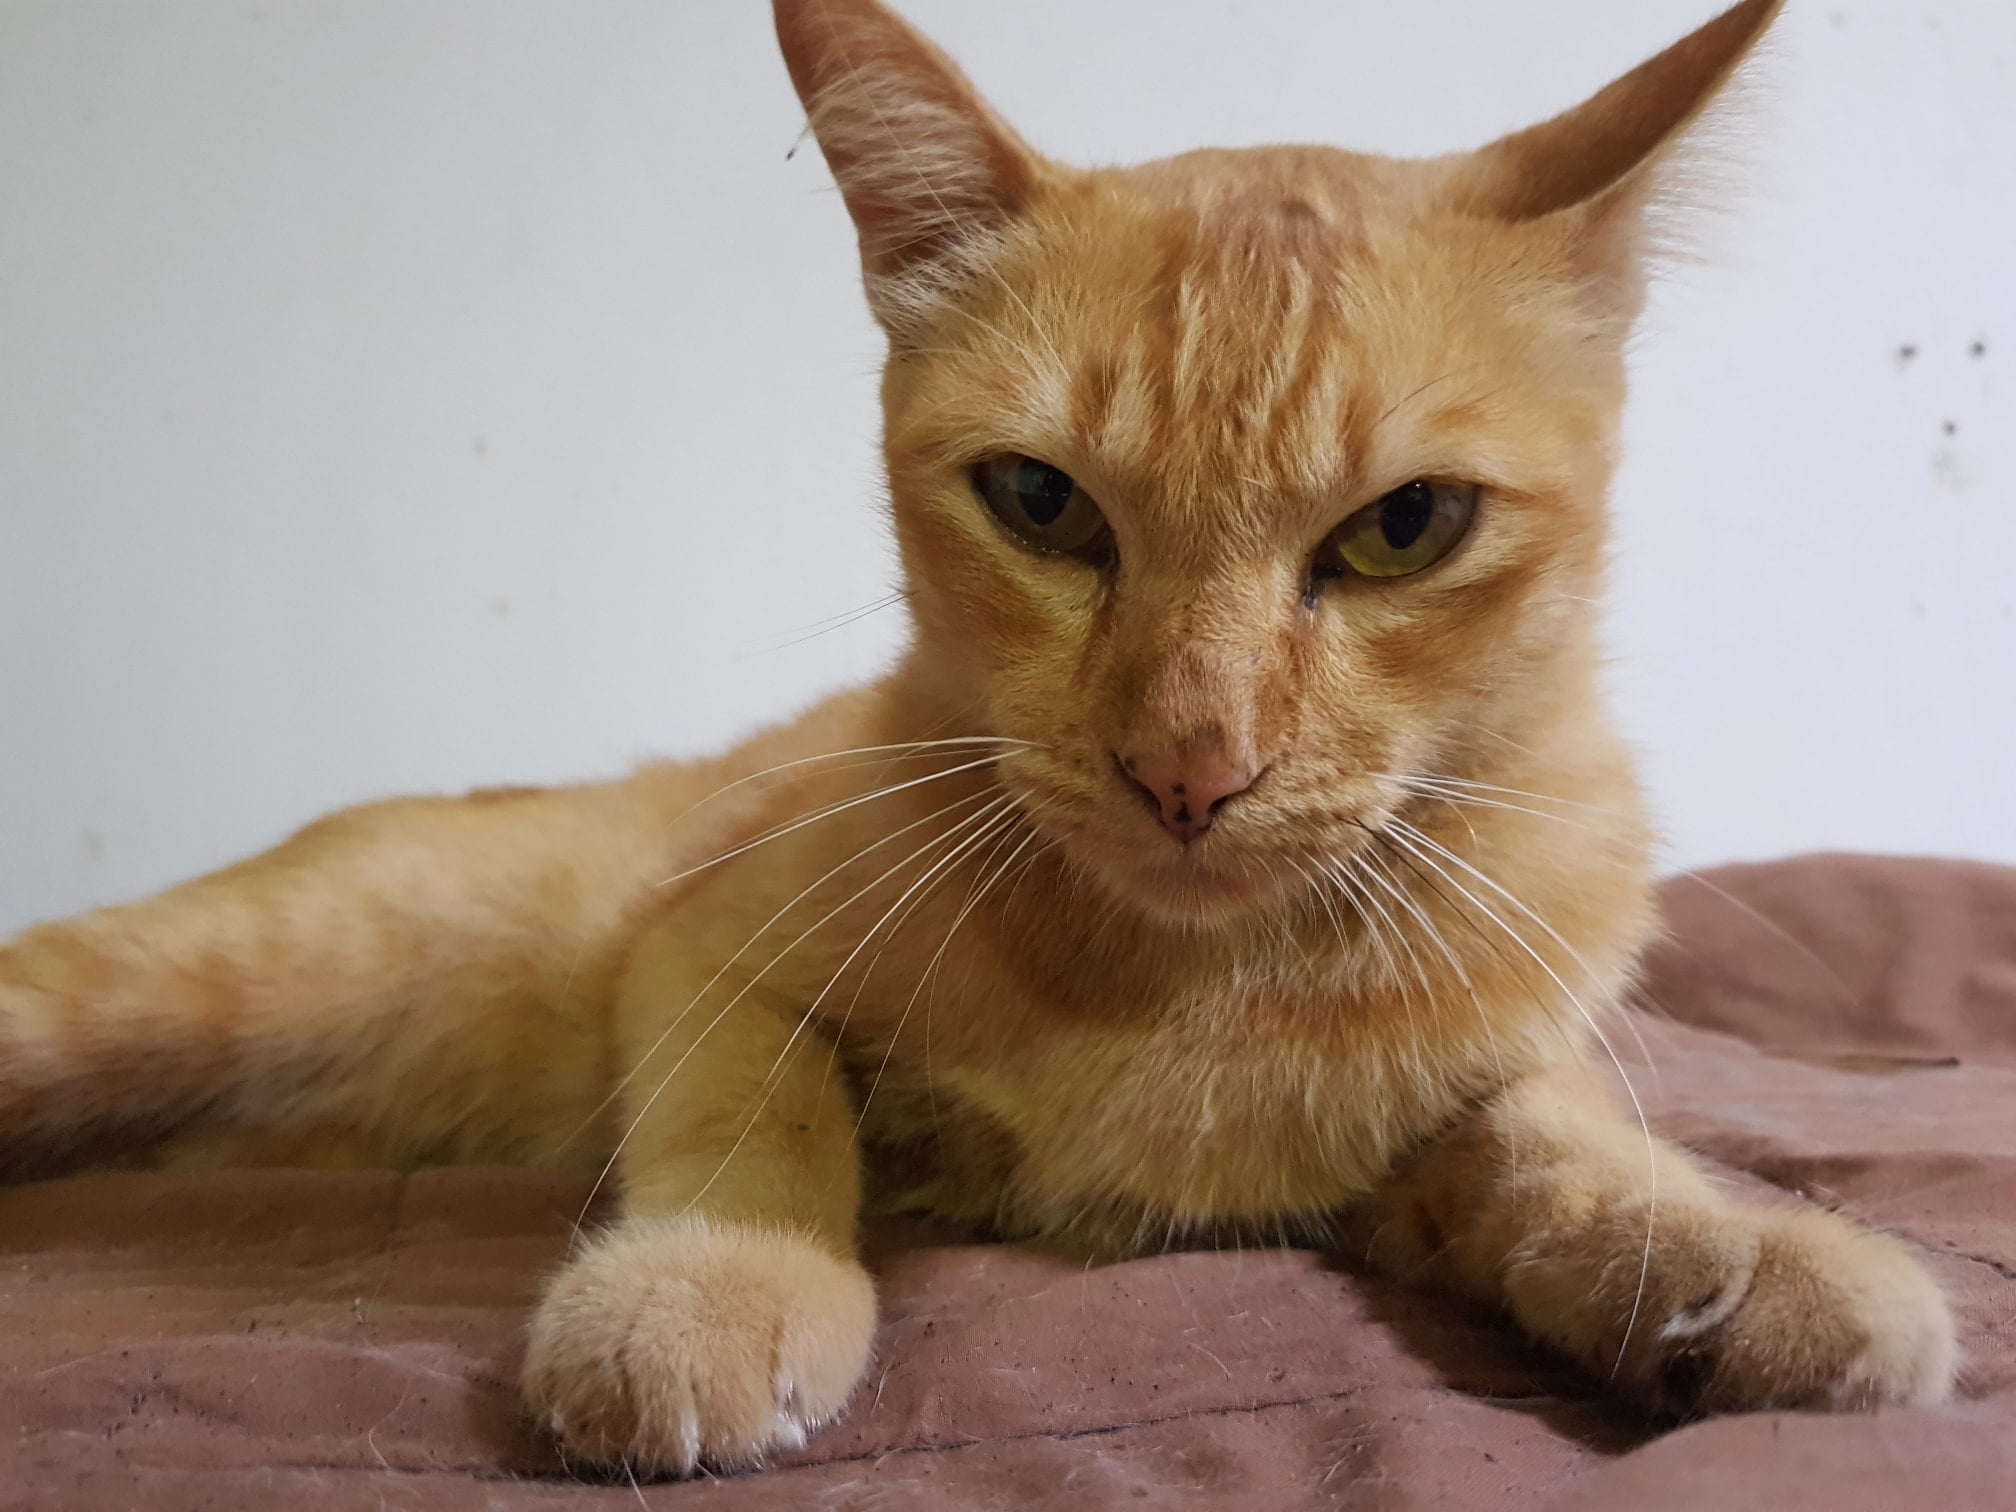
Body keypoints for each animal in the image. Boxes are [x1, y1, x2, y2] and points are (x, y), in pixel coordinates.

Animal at [0, 0, 1958, 1479]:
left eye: (1406, 527)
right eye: (1040, 503)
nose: (1191, 767)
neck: (1181, 982)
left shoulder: (1415, 1125)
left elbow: (1542, 1127)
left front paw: (1728, 1248)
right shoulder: (704, 938)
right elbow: (754, 1100)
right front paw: (712, 1283)